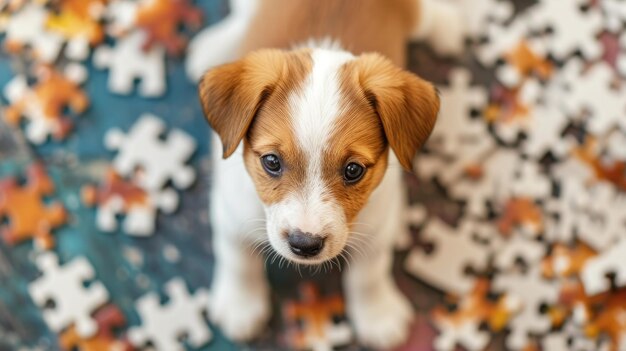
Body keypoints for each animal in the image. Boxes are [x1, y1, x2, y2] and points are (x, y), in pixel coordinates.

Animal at [195, 0, 464, 348]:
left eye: (353, 170)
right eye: (271, 162)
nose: (304, 245)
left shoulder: (380, 223)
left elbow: (369, 274)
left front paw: (377, 314)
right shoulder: (230, 212)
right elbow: (237, 259)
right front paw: (240, 305)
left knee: (427, 14)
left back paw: (448, 26)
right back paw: (213, 45)